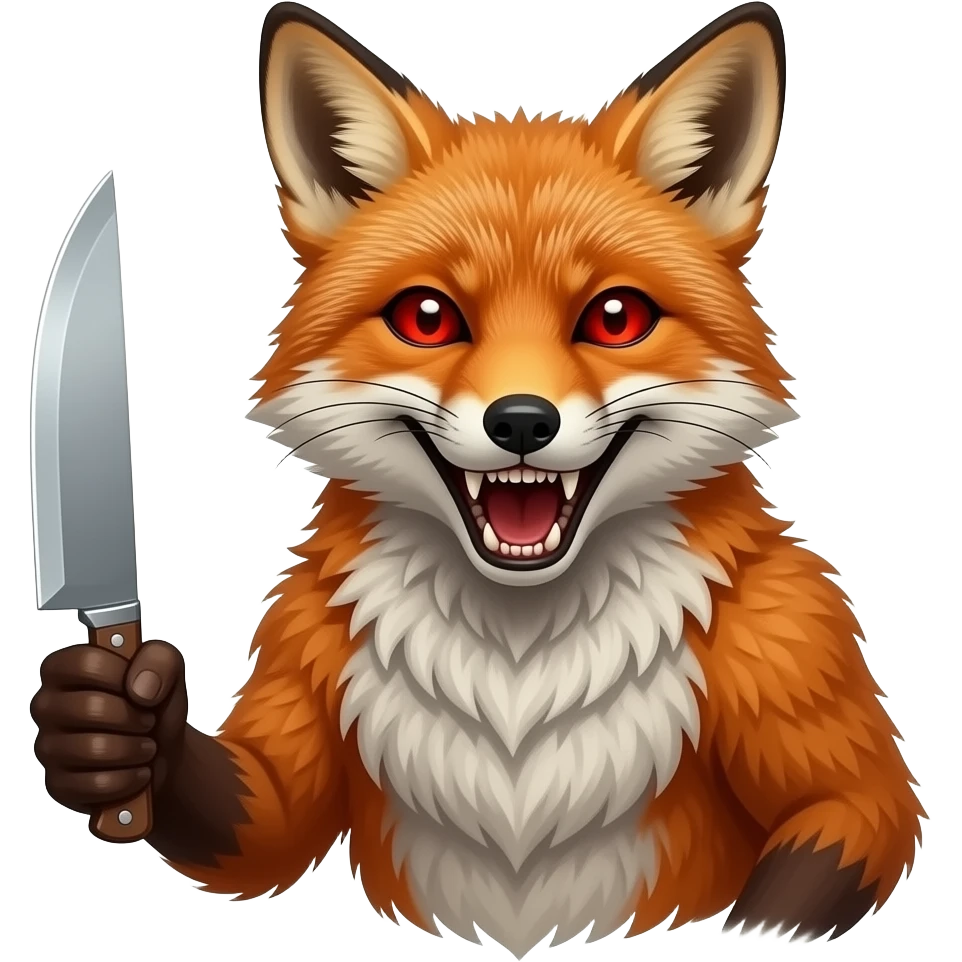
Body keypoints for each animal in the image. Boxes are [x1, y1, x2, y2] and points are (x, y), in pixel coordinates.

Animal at [30, 1, 927, 956]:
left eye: (616, 317)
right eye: (427, 317)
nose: (522, 422)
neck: (519, 664)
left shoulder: (792, 651)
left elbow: (847, 819)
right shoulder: (310, 646)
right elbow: (269, 821)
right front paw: (112, 729)